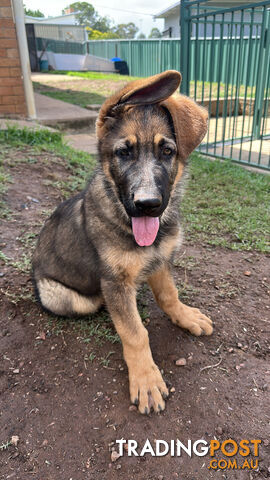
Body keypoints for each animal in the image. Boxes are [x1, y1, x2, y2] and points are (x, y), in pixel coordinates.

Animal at [32, 69, 212, 414]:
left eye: (167, 151)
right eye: (123, 152)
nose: (147, 204)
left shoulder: (160, 261)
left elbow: (169, 295)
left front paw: (184, 316)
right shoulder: (115, 281)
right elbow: (135, 332)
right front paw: (146, 379)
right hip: (65, 296)